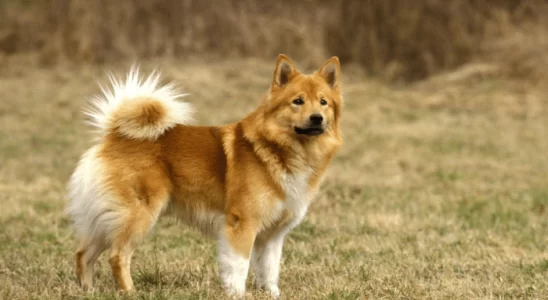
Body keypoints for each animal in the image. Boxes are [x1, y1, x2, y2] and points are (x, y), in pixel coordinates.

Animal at [66, 54, 342, 298]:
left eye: (323, 102)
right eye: (298, 101)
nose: (316, 118)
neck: (279, 148)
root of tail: (115, 135)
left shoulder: (272, 235)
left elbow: (269, 270)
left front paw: (271, 294)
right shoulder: (242, 225)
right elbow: (239, 267)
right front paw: (237, 295)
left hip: (107, 218)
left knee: (83, 254)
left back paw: (87, 291)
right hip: (137, 215)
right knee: (117, 256)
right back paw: (129, 292)